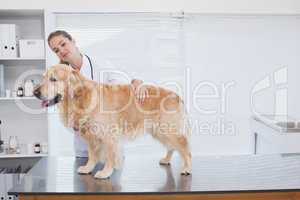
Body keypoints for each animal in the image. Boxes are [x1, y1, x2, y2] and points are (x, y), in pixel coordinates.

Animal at [33, 64, 192, 180]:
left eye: (53, 79)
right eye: (44, 77)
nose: (35, 92)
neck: (80, 97)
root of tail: (177, 96)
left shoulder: (109, 136)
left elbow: (110, 156)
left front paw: (105, 172)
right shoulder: (92, 136)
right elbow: (92, 155)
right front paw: (88, 168)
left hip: (169, 130)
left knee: (185, 149)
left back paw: (187, 168)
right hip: (160, 131)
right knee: (171, 147)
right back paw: (166, 159)